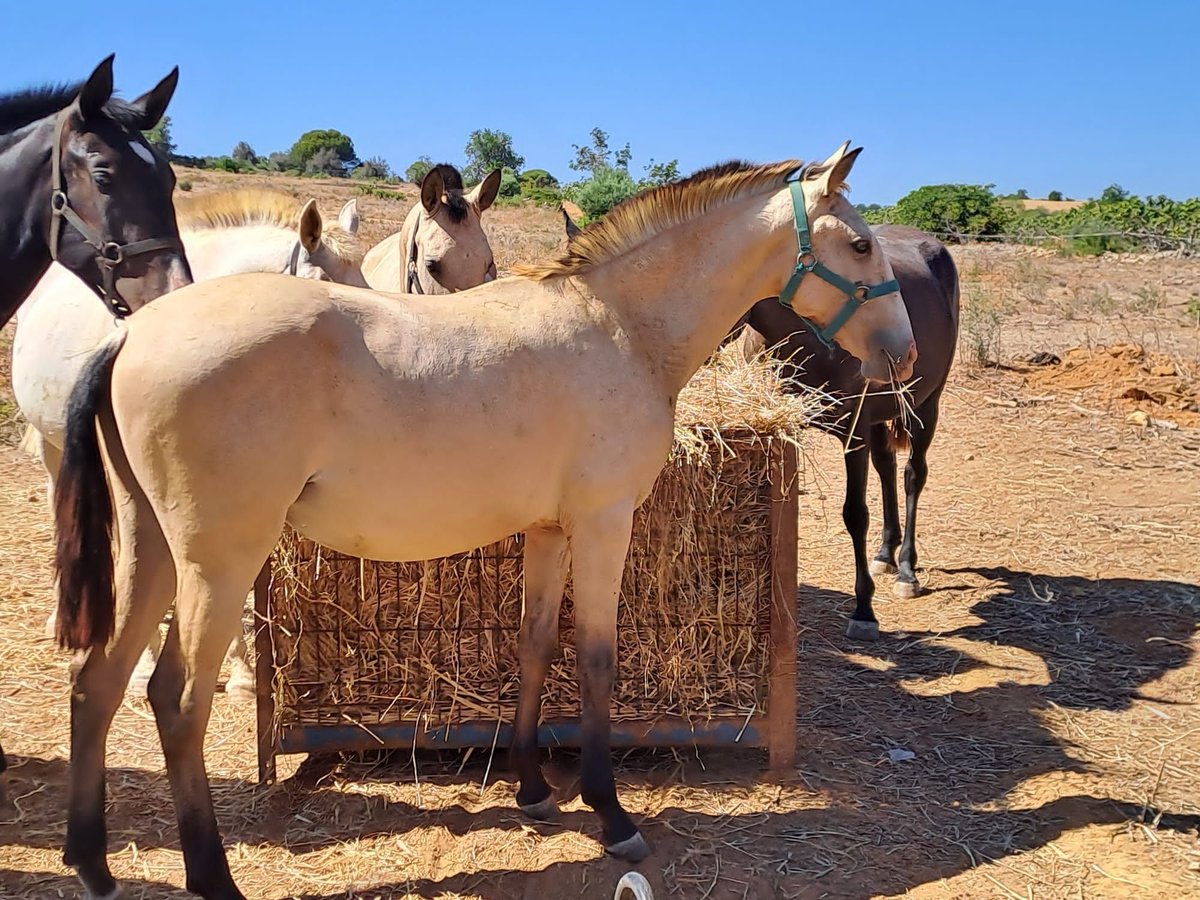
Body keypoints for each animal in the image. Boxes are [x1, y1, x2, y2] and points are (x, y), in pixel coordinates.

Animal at [734, 225, 960, 643]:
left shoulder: (854, 434)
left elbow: (855, 514)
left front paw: (864, 610)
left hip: (925, 407)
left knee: (912, 476)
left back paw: (906, 568)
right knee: (887, 467)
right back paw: (885, 553)